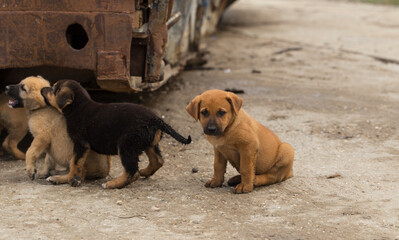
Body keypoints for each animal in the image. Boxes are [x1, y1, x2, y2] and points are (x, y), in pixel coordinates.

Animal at [41, 79, 191, 188]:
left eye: (52, 89)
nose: (42, 89)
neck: (78, 107)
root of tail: (156, 120)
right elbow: (79, 164)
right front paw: (63, 178)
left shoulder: (81, 144)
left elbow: (74, 163)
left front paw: (72, 179)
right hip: (149, 143)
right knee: (157, 161)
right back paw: (145, 172)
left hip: (126, 145)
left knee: (132, 172)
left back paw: (112, 184)